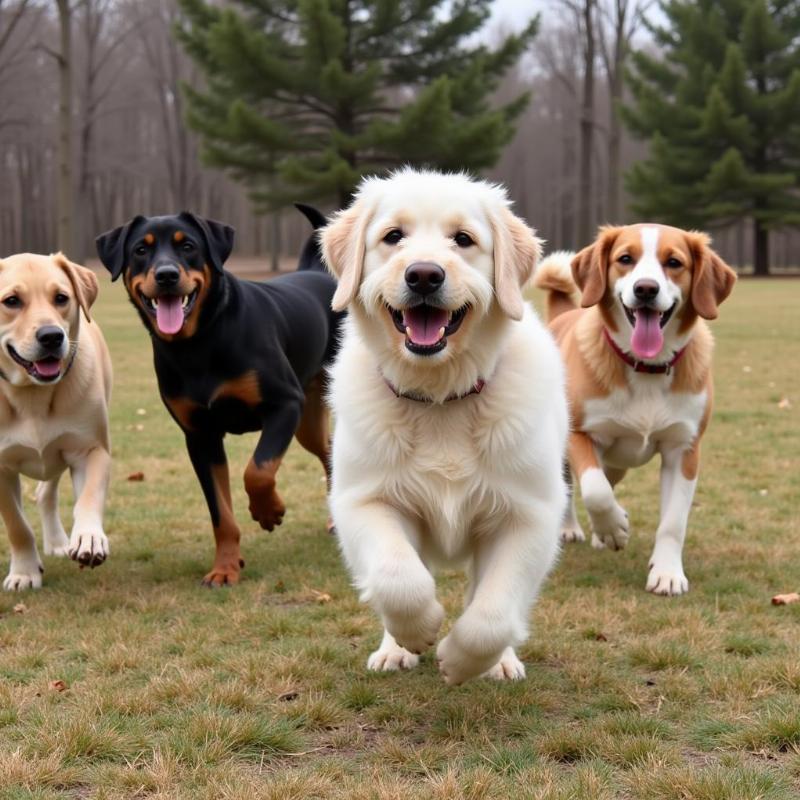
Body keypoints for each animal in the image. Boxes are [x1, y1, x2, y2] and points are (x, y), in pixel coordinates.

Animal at [0, 253, 112, 592]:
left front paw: (89, 538)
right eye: (11, 301)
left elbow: (88, 497)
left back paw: (60, 542)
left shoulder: (89, 449)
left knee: (46, 493)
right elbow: (17, 524)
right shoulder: (0, 467)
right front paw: (24, 572)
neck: (31, 394)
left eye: (61, 298)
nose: (51, 336)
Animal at [96, 206, 340, 584]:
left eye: (188, 246)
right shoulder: (200, 437)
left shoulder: (284, 405)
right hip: (308, 422)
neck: (198, 343)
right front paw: (225, 568)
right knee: (327, 452)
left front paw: (268, 510)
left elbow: (257, 470)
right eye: (140, 250)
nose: (166, 275)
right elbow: (220, 513)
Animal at [322, 172, 564, 684]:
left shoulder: (528, 515)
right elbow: (397, 579)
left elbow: (492, 614)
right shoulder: (364, 500)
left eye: (464, 240)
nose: (424, 275)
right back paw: (394, 648)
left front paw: (462, 660)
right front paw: (417, 630)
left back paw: (500, 661)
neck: (439, 399)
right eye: (393, 236)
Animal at [536, 223, 736, 592]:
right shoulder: (581, 435)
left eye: (674, 262)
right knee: (571, 487)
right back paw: (572, 528)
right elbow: (595, 490)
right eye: (625, 259)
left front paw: (667, 573)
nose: (645, 289)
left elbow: (673, 522)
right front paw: (614, 529)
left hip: (619, 463)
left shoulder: (684, 450)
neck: (647, 367)